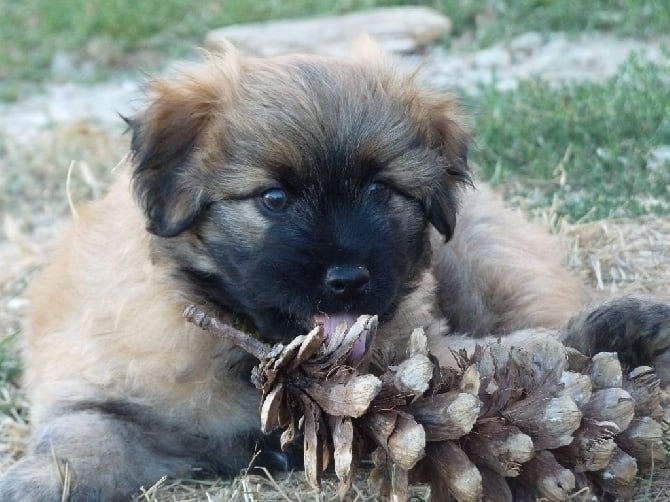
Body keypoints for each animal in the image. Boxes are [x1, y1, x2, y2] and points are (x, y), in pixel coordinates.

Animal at [1, 41, 670, 500]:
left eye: (379, 190)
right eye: (274, 198)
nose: (347, 278)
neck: (256, 354)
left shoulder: (416, 356)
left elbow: (506, 358)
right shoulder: (118, 406)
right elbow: (80, 444)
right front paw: (31, 480)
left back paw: (623, 329)